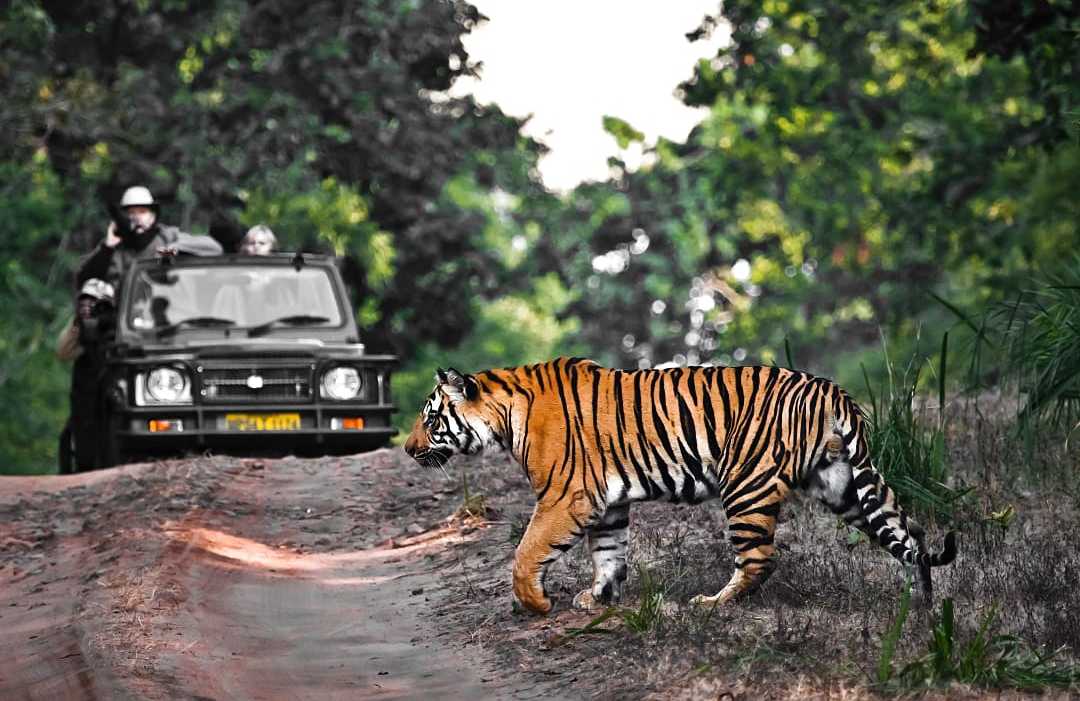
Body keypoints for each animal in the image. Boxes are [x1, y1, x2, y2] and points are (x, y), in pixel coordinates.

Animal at [403, 357, 957, 615]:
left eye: (431, 418)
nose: (407, 449)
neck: (506, 415)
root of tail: (831, 389)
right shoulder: (605, 503)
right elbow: (609, 553)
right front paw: (599, 597)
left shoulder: (566, 497)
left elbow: (526, 552)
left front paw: (536, 604)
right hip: (844, 485)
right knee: (910, 533)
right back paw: (924, 603)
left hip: (747, 485)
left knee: (760, 558)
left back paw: (713, 605)